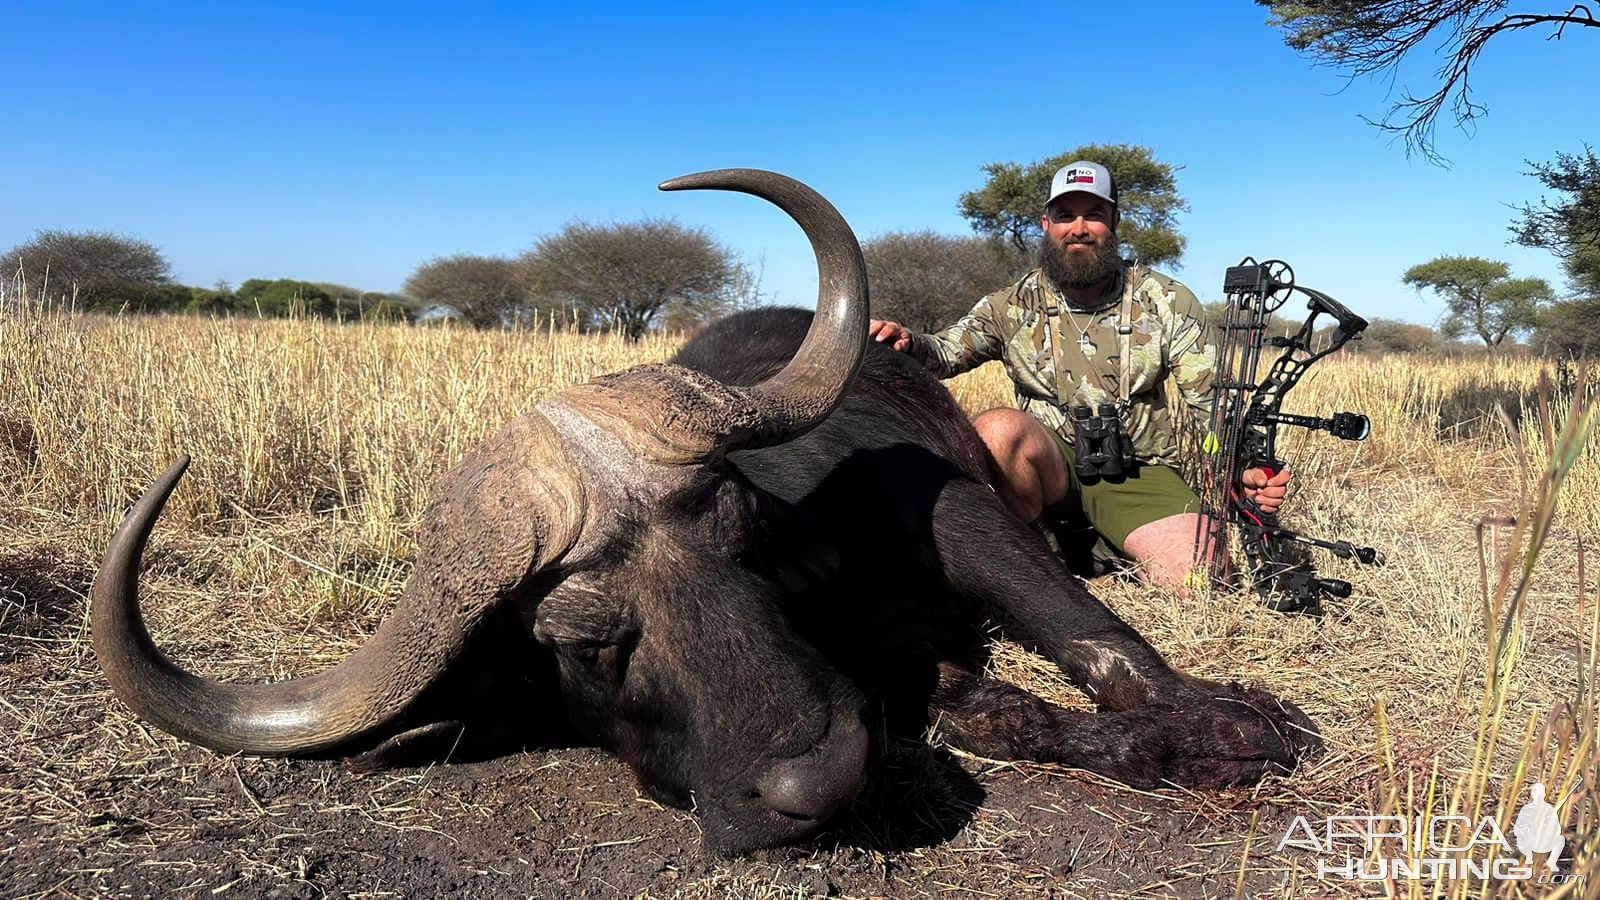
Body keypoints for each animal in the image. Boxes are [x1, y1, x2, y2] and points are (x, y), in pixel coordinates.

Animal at [93, 169, 1324, 851]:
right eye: (582, 643)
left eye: (740, 544)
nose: (813, 783)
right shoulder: (901, 672)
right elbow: (1001, 714)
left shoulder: (957, 520)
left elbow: (1098, 640)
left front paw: (1229, 722)